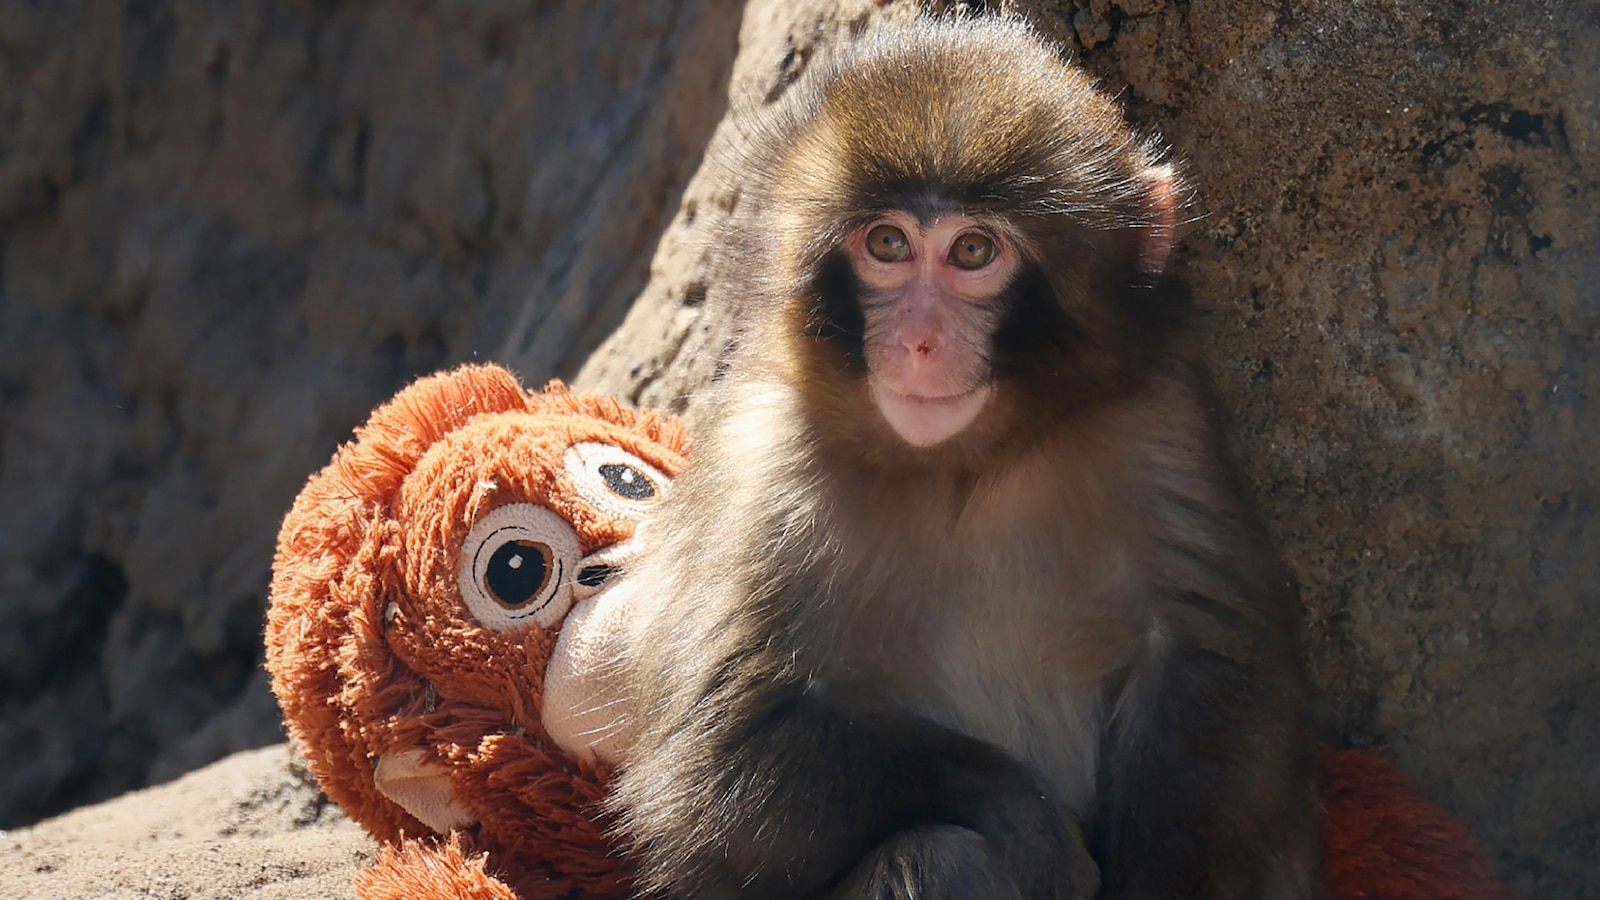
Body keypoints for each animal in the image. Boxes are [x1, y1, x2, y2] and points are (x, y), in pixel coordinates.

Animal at [603, 16, 1325, 900]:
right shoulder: (763, 467)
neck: (963, 467)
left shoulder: (1160, 419)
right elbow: (717, 764)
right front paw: (1025, 816)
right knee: (938, 857)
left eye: (974, 252)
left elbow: (1214, 665)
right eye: (887, 243)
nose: (919, 340)